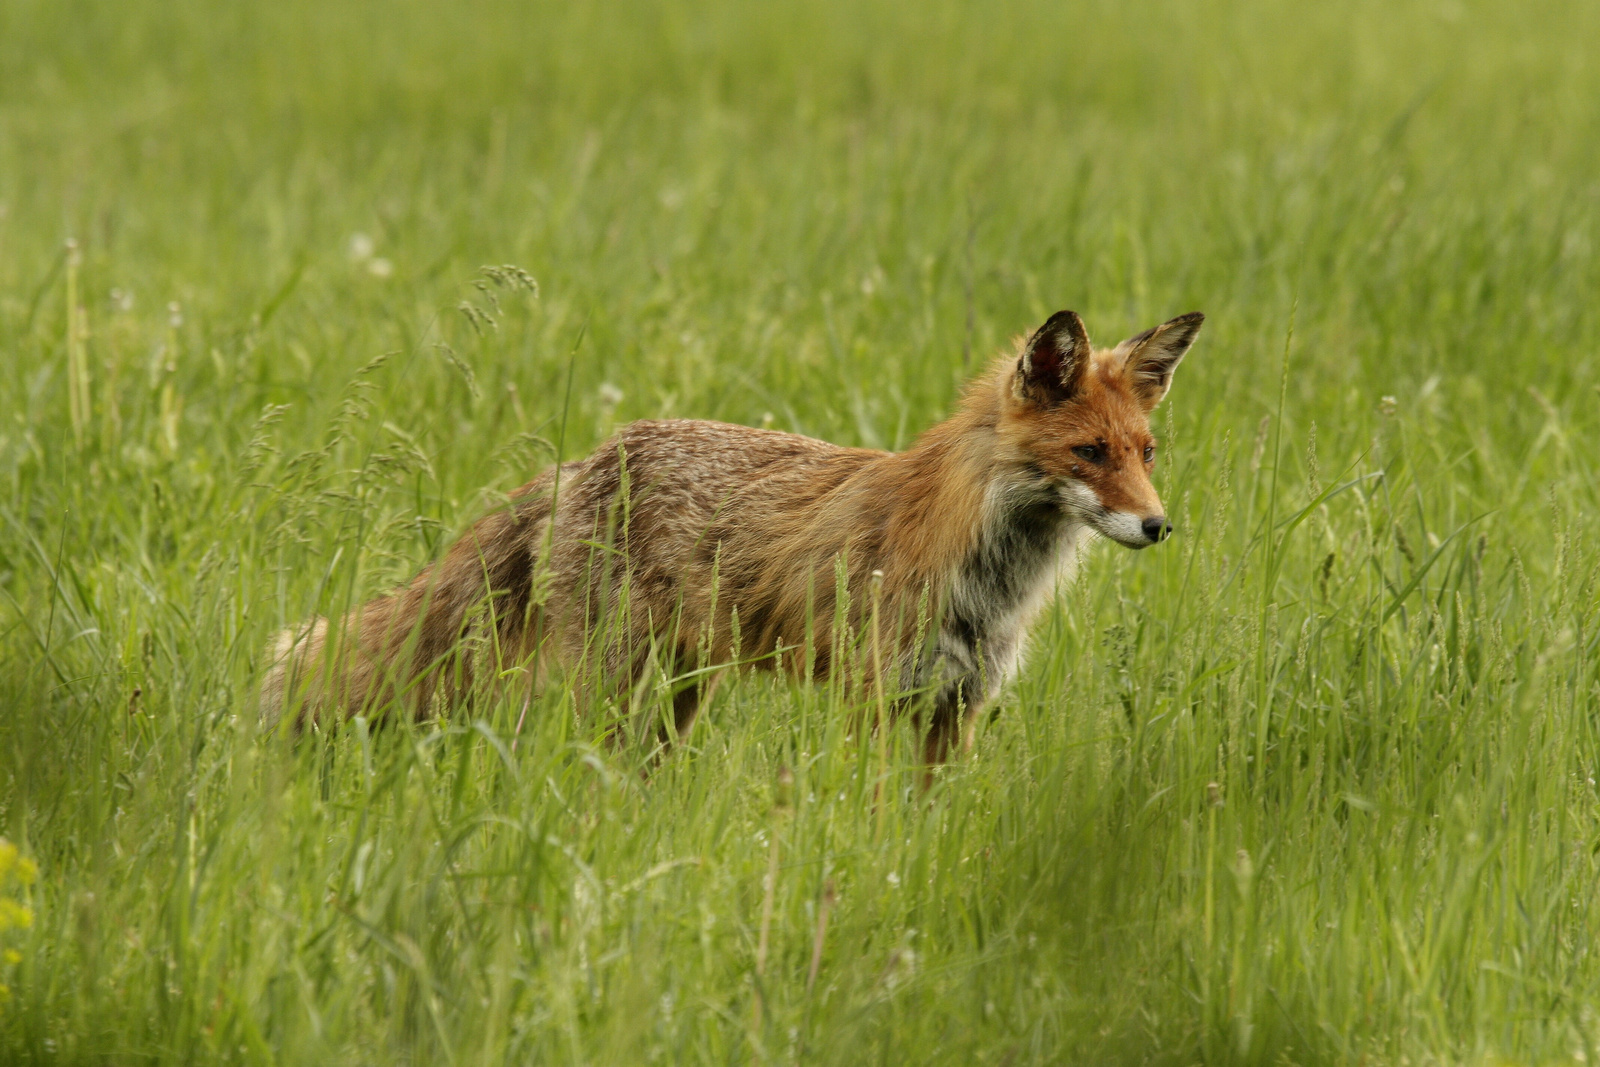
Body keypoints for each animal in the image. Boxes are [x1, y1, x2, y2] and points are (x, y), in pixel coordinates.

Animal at [262, 308, 1203, 767]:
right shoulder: (873, 698)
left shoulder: (956, 706)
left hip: (676, 693)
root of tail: (588, 457)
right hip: (604, 682)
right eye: (1089, 453)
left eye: (1147, 452)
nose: (1158, 525)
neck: (989, 583)